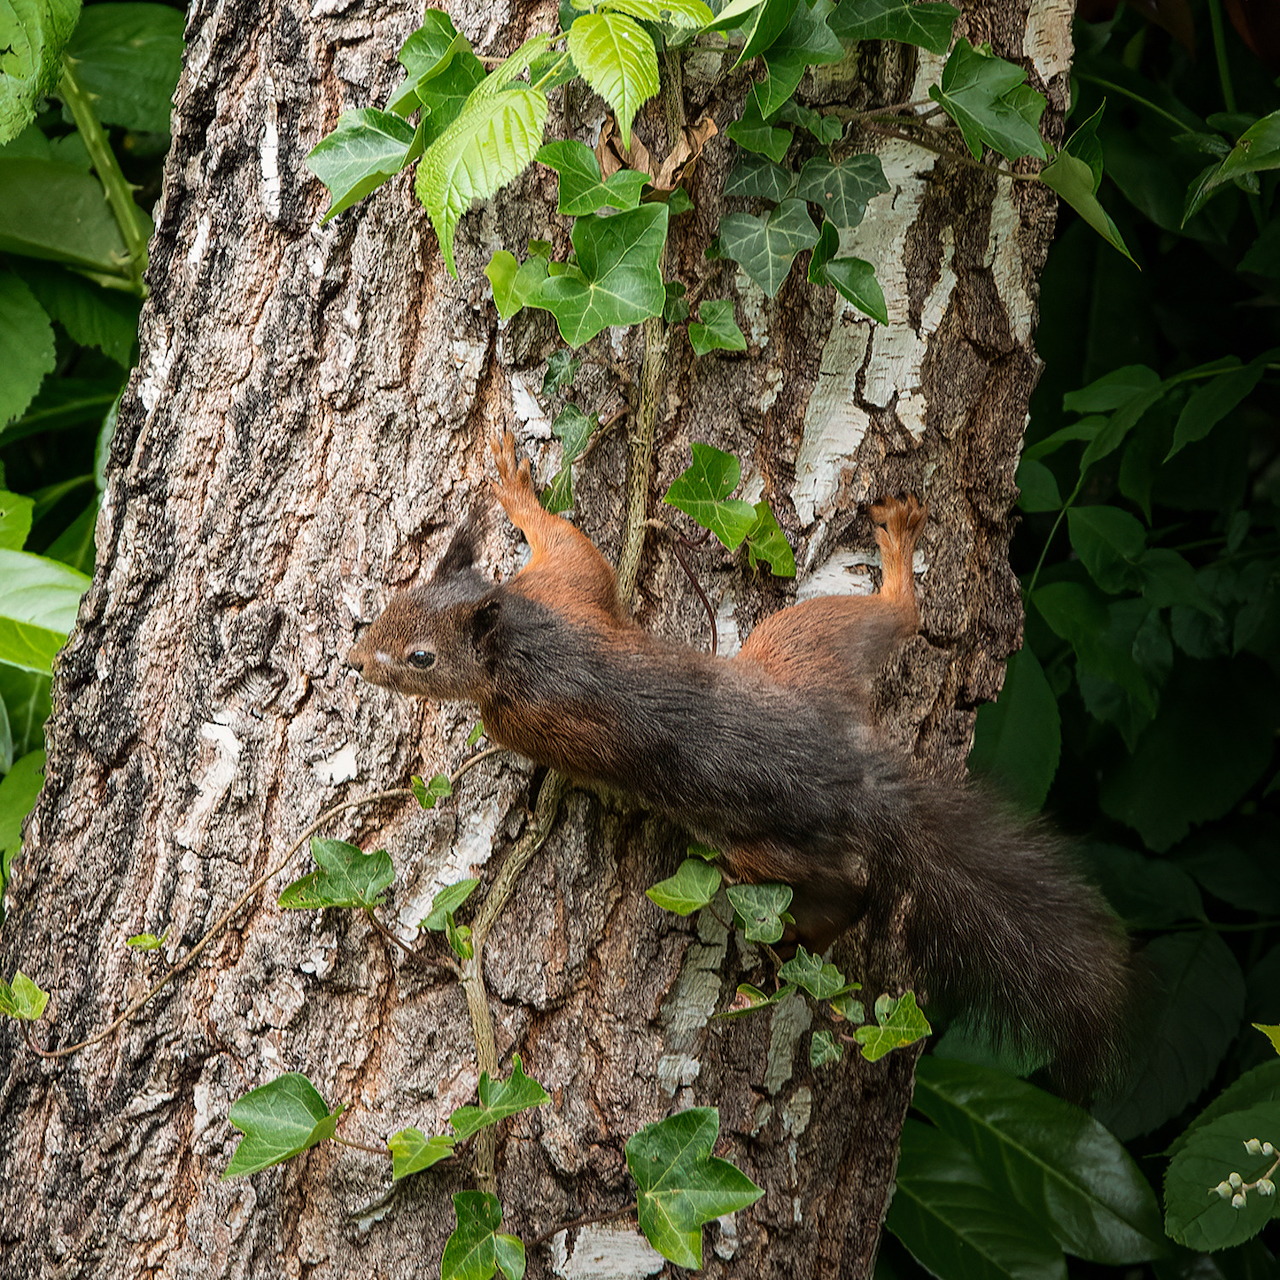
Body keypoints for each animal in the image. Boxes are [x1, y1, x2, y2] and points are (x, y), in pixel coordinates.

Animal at [349, 431, 1132, 1095]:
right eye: (395, 603)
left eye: (421, 659)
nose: (356, 660)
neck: (517, 638)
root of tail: (853, 776)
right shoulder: (561, 591)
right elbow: (577, 550)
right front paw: (516, 488)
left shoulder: (530, 702)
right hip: (814, 654)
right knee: (899, 625)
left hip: (768, 825)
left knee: (843, 889)